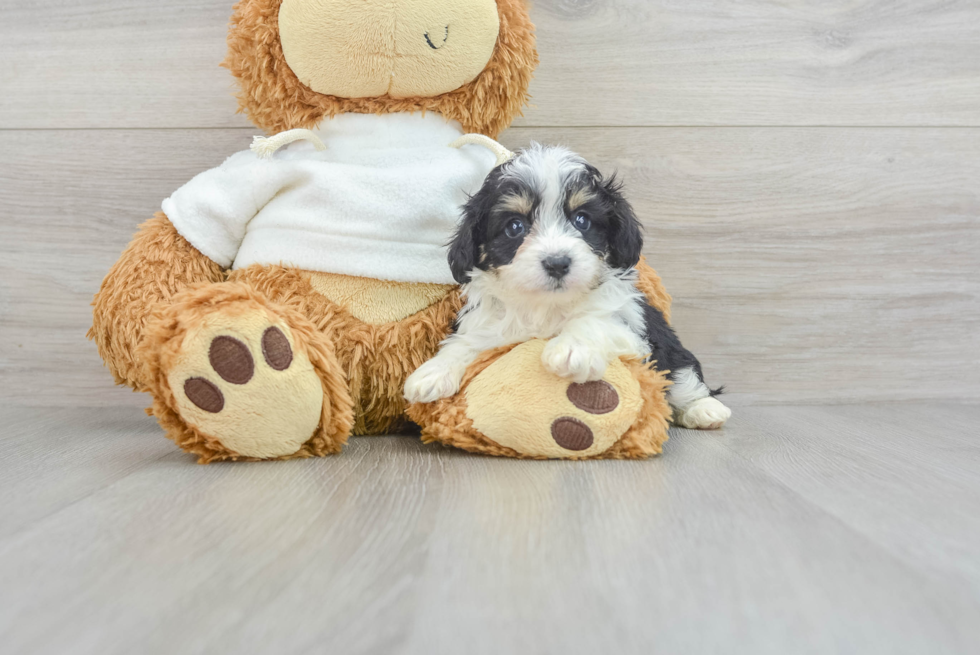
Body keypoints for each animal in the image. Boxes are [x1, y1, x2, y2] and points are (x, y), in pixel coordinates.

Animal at [402, 144, 732, 430]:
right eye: (515, 226)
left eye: (582, 220)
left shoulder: (633, 327)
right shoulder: (489, 325)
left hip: (670, 348)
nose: (558, 263)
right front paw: (432, 372)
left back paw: (704, 410)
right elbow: (466, 342)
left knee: (683, 378)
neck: (546, 306)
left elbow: (596, 320)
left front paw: (572, 348)